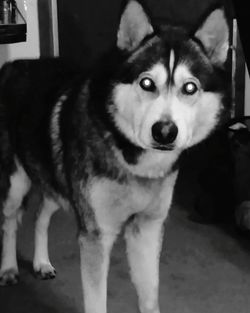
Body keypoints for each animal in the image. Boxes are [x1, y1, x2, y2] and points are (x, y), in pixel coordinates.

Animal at [0, 0, 230, 312]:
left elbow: (149, 295)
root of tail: (15, 64)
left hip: (58, 182)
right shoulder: (96, 235)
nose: (165, 131)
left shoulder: (147, 227)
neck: (132, 158)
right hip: (16, 182)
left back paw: (41, 262)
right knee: (10, 221)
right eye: (147, 83)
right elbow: (97, 301)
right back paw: (9, 268)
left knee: (41, 213)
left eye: (190, 87)